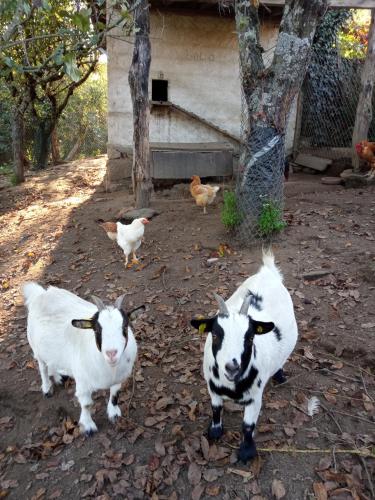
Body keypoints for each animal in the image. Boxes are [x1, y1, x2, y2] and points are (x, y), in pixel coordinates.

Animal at [22, 284, 140, 436]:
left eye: (125, 327)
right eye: (96, 330)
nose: (111, 353)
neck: (110, 369)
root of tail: (41, 293)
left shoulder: (118, 378)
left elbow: (115, 394)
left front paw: (114, 414)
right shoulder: (83, 383)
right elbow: (87, 404)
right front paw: (88, 426)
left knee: (52, 362)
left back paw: (59, 378)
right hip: (36, 347)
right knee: (43, 367)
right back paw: (47, 388)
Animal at [192, 252, 298, 462]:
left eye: (250, 337)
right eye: (215, 335)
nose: (232, 367)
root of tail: (268, 272)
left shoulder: (255, 397)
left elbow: (248, 425)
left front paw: (246, 451)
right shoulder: (212, 388)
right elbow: (216, 409)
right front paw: (215, 432)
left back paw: (280, 376)